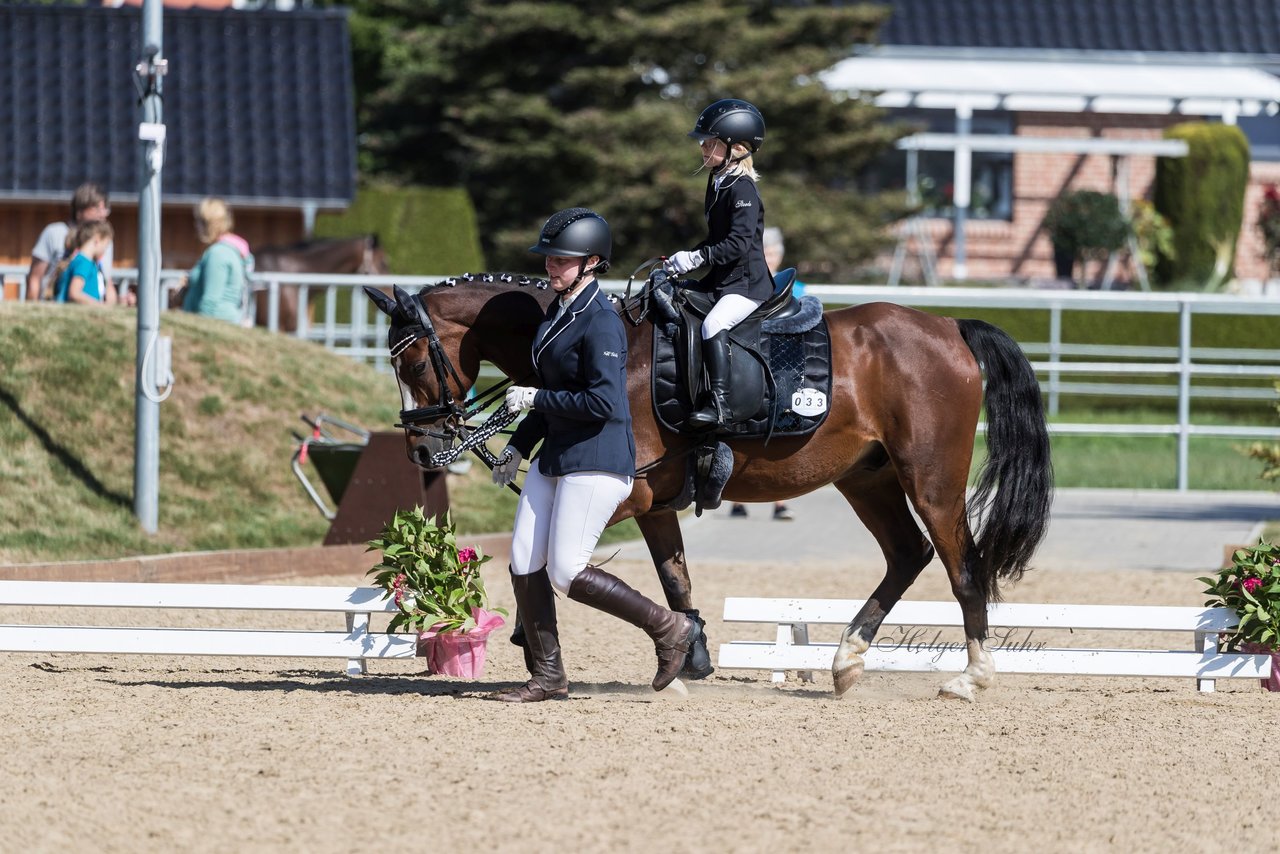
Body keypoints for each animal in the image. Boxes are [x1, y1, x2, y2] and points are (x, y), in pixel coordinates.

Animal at [366, 273, 1054, 701]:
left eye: (415, 361)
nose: (422, 451)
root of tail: (948, 326)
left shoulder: (631, 494)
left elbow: (585, 567)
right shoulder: (656, 505)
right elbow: (674, 578)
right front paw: (687, 656)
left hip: (931, 480)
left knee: (962, 566)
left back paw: (971, 678)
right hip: (868, 479)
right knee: (908, 555)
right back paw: (845, 661)